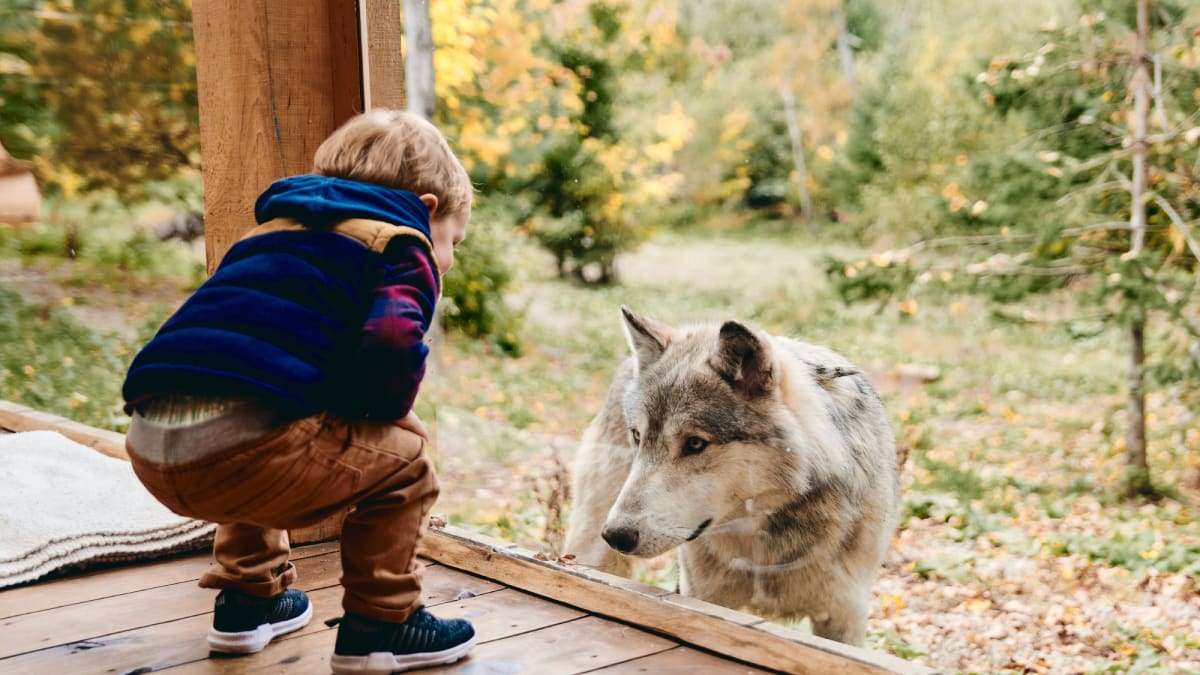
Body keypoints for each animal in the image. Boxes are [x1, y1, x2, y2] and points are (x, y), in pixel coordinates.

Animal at [563, 307, 899, 646]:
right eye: (637, 436)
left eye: (695, 443)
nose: (617, 535)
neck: (763, 539)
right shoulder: (702, 597)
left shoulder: (844, 617)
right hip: (593, 553)